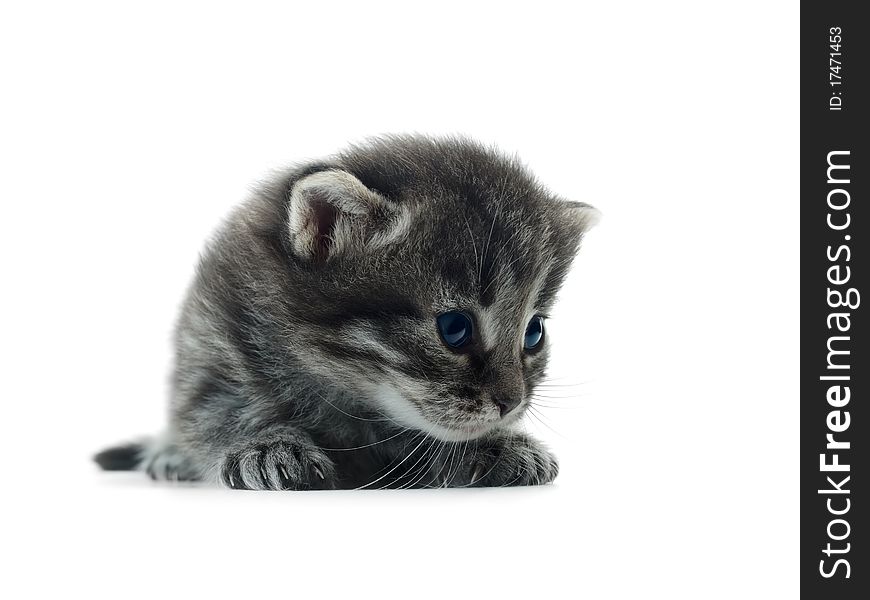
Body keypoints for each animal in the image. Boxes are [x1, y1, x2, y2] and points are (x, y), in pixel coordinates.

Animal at [95, 135, 600, 488]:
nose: (511, 404)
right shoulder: (213, 335)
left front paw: (498, 445)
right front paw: (264, 443)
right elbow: (212, 410)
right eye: (454, 328)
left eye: (533, 332)